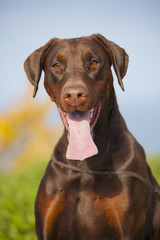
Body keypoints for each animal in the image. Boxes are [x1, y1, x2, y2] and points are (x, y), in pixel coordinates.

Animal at [24, 34, 160, 240]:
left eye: (94, 62)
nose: (74, 95)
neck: (84, 165)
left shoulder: (127, 231)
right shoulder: (46, 228)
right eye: (56, 65)